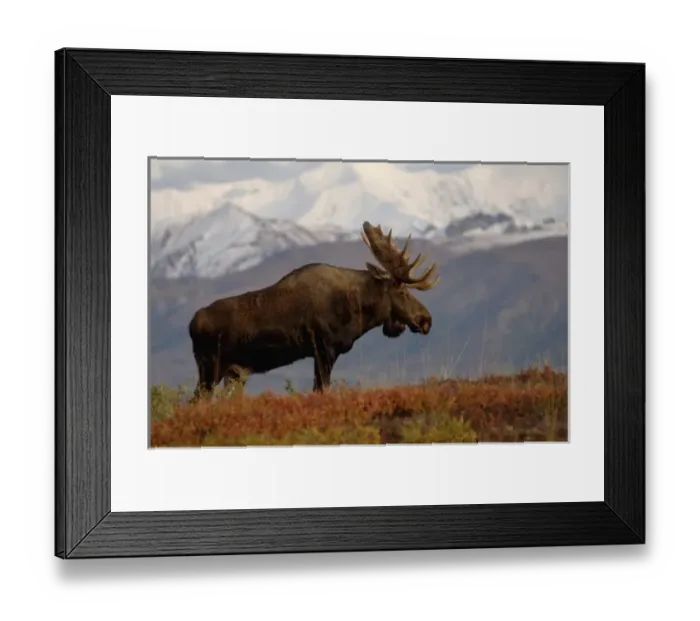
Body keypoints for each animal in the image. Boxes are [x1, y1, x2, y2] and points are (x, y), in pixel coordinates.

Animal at [187, 220, 441, 399]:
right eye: (402, 291)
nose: (426, 319)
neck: (359, 308)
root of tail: (191, 324)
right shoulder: (325, 349)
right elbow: (321, 389)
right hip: (210, 368)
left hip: (234, 373)